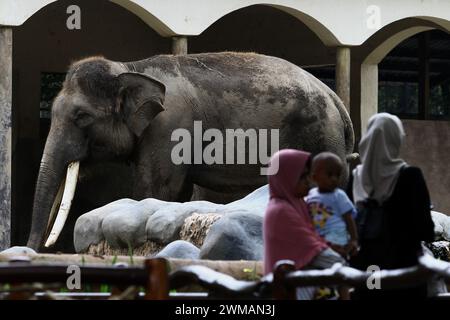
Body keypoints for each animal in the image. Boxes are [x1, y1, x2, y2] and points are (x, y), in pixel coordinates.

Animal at [27, 52, 356, 250]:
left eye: (81, 116)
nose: (33, 249)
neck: (130, 68)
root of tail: (337, 100)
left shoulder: (168, 129)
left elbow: (156, 190)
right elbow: (178, 191)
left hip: (321, 137)